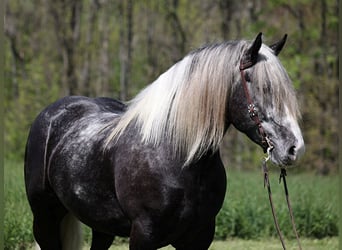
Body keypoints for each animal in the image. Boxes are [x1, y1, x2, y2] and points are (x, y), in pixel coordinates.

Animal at [24, 33, 304, 250]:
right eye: (265, 88)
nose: (294, 148)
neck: (174, 156)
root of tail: (54, 113)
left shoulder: (199, 238)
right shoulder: (143, 236)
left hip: (101, 225)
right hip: (44, 218)